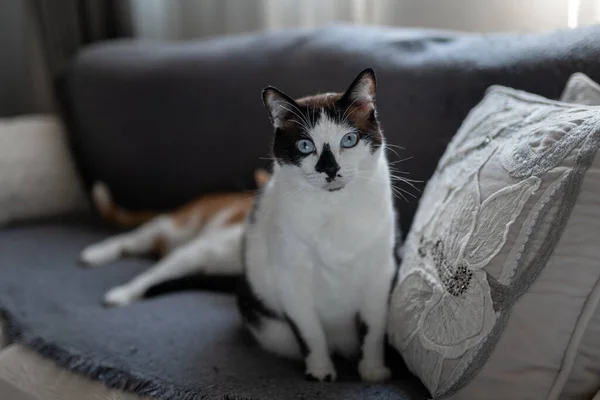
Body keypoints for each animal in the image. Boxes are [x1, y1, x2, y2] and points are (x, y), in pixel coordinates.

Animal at [79, 169, 270, 306]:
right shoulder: (192, 252)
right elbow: (152, 275)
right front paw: (125, 292)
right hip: (173, 227)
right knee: (127, 240)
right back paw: (97, 252)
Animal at [239, 69, 398, 382]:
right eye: (305, 146)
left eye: (349, 139)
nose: (330, 169)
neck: (334, 208)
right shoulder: (291, 280)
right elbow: (310, 333)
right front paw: (320, 371)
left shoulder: (379, 273)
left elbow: (373, 330)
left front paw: (373, 371)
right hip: (272, 329)